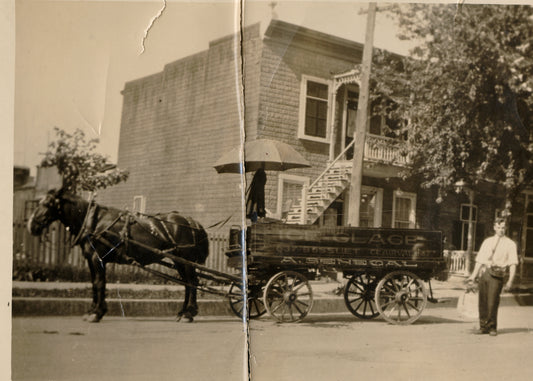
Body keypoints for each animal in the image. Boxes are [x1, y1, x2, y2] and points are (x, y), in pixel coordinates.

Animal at [28, 187, 209, 320]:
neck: (95, 222)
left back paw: (188, 313)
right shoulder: (91, 259)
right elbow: (94, 283)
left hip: (186, 259)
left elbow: (99, 283)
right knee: (187, 284)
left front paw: (97, 313)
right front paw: (93, 310)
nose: (31, 225)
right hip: (179, 261)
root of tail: (191, 221)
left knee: (192, 282)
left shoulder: (97, 259)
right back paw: (183, 312)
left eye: (47, 204)